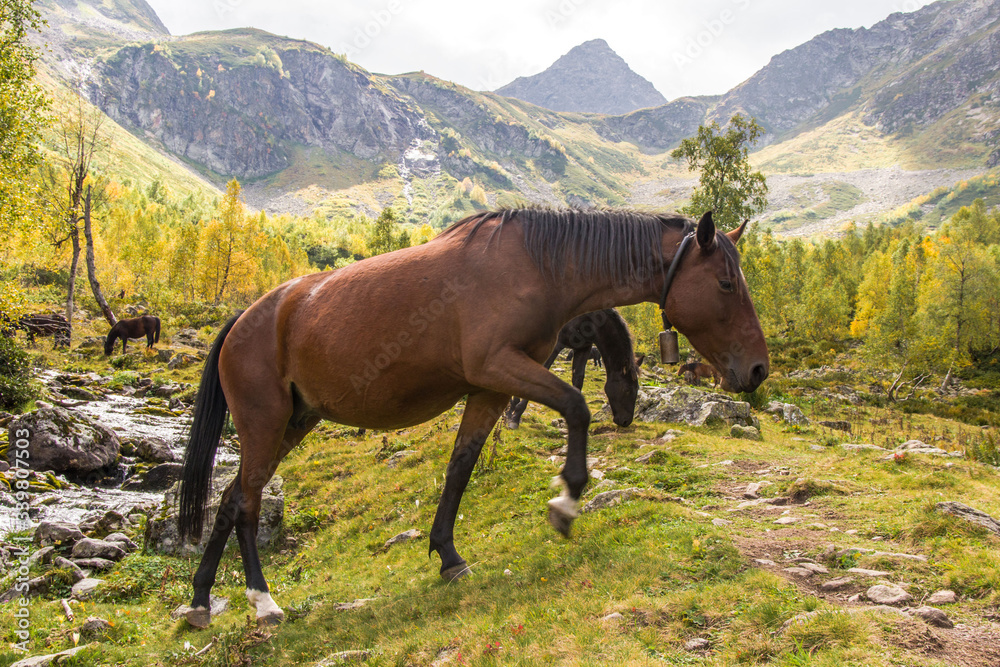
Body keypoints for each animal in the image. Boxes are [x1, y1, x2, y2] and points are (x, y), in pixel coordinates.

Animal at [508, 310, 640, 430]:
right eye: (627, 389)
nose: (626, 421)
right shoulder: (556, 345)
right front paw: (516, 417)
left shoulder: (583, 349)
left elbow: (578, 379)